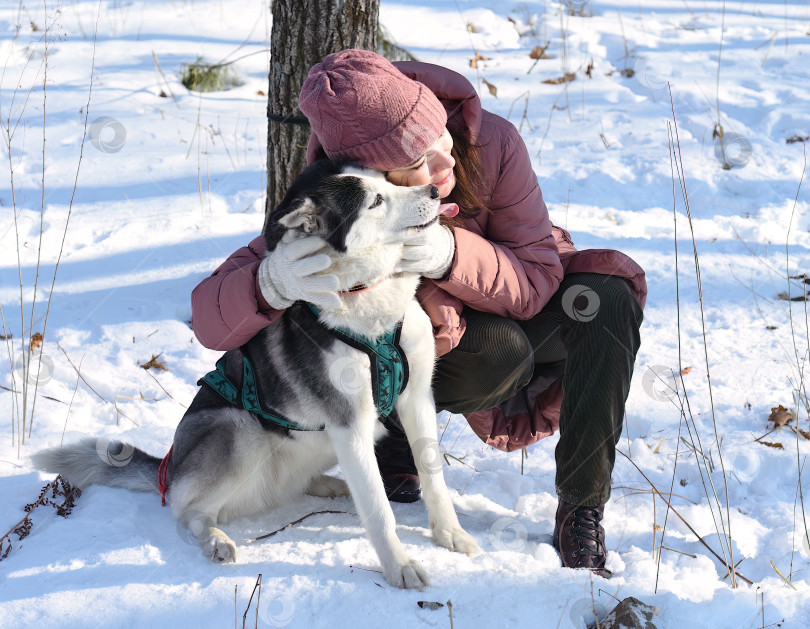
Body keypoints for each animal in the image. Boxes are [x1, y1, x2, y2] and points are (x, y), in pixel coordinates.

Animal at [33, 158, 474, 588]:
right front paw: (400, 566)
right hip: (239, 429)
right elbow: (380, 512)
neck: (369, 301)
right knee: (186, 511)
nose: (434, 191)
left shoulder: (416, 398)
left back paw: (330, 485)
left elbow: (433, 476)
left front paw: (450, 533)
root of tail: (168, 468)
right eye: (375, 201)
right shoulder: (350, 422)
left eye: (387, 180)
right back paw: (216, 539)